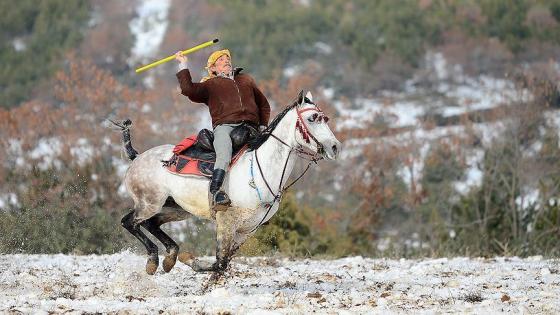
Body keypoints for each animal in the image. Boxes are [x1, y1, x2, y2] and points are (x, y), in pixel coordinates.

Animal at [116, 90, 340, 276]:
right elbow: (220, 262)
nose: (335, 147)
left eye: (325, 118)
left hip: (177, 209)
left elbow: (223, 263)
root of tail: (137, 157)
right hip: (149, 203)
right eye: (312, 118)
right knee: (129, 222)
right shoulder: (226, 223)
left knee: (150, 223)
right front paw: (192, 260)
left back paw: (170, 257)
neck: (258, 170)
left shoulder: (247, 230)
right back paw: (153, 260)